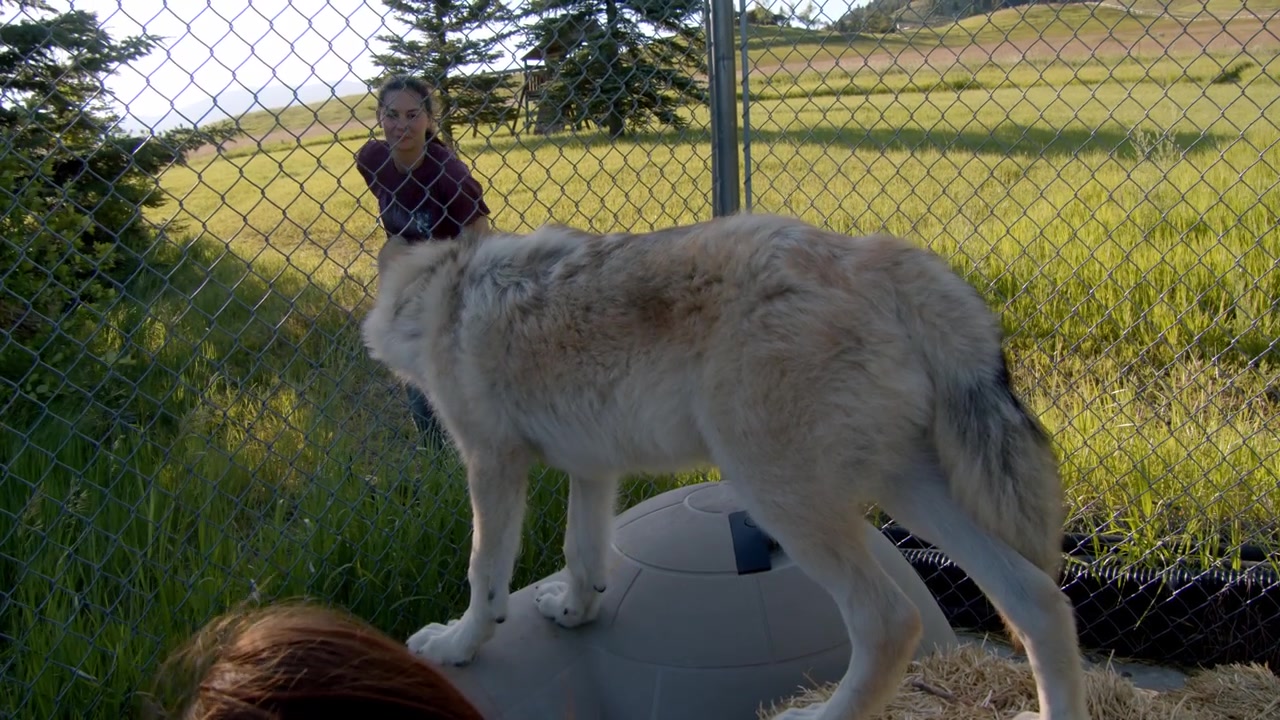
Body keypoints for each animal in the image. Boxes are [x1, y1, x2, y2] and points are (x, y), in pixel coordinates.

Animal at [360, 212, 1091, 720]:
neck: (447, 290)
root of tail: (875, 256)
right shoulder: (593, 469)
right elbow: (583, 556)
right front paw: (572, 613)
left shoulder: (491, 462)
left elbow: (484, 574)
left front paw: (457, 646)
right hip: (908, 490)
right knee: (1038, 600)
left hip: (781, 496)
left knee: (889, 621)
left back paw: (818, 715)